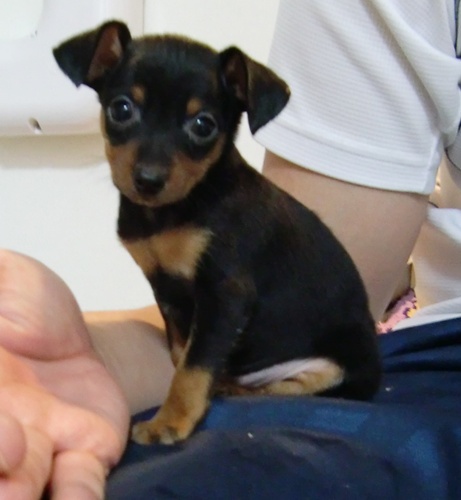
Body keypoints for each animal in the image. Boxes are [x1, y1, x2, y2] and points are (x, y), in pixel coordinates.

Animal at [53, 21, 381, 445]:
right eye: (121, 109)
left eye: (203, 125)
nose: (148, 180)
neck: (172, 213)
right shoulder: (168, 292)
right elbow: (182, 355)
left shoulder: (224, 295)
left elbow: (194, 365)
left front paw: (170, 421)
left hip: (334, 369)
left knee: (287, 390)